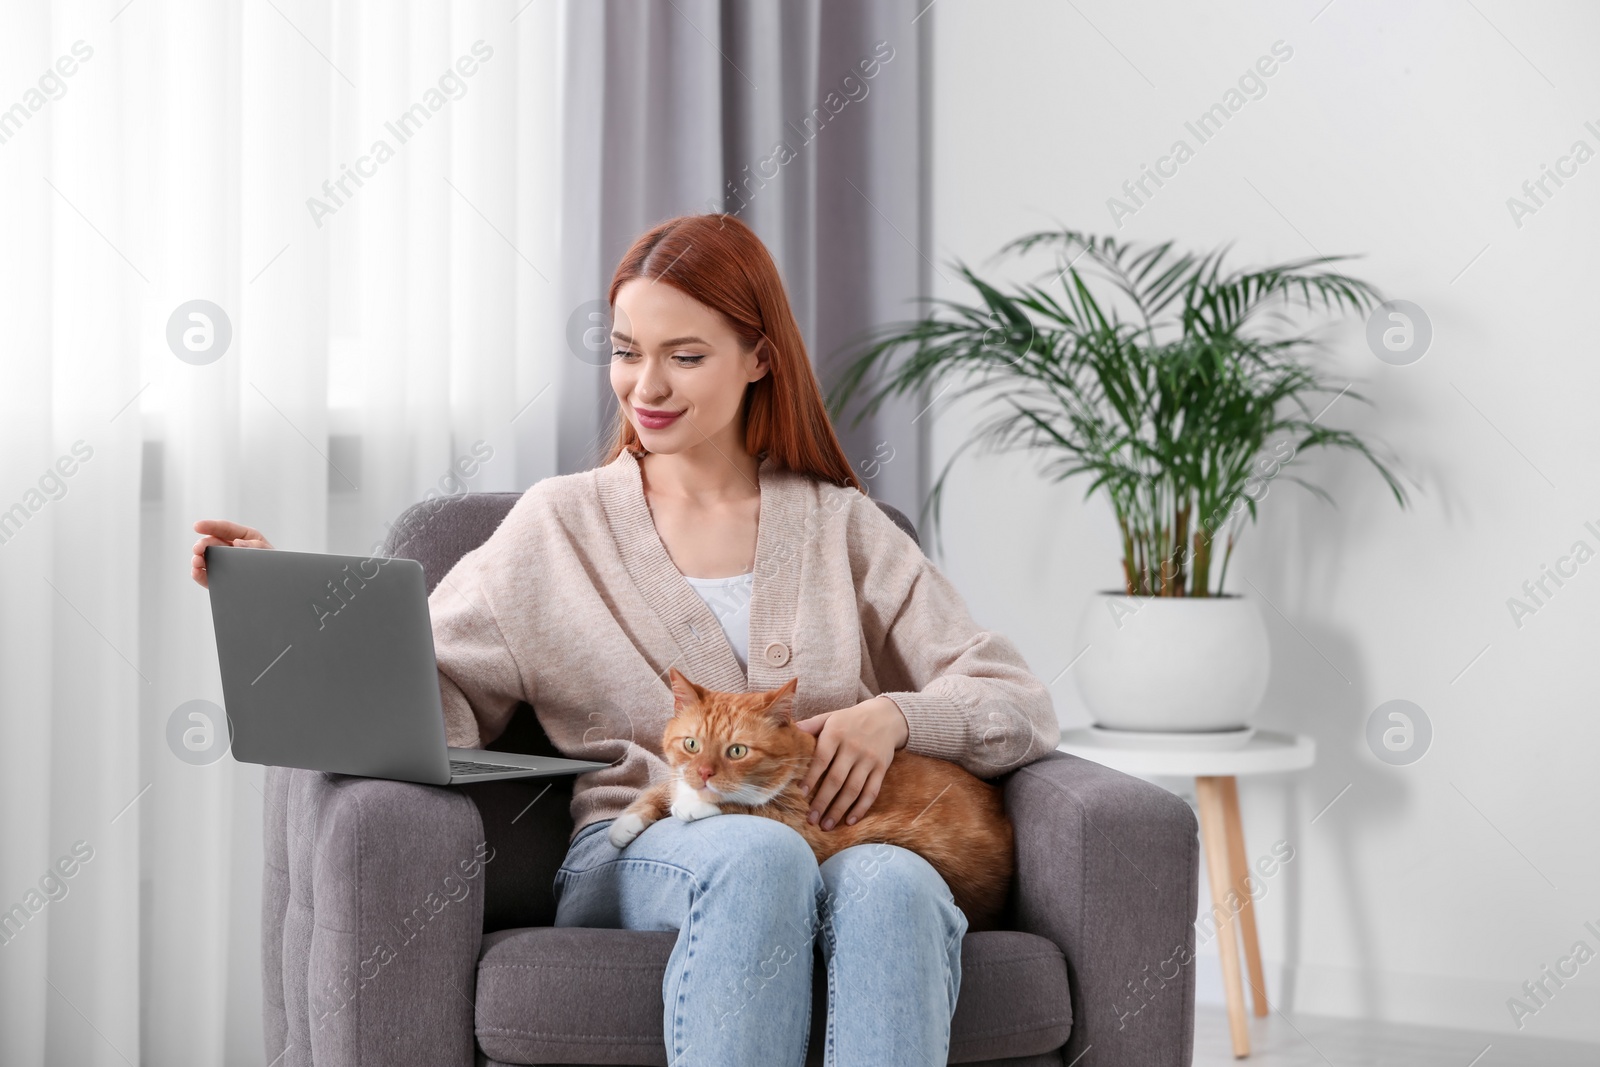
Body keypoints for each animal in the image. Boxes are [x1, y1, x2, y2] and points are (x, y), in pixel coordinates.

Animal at [611, 671, 1011, 927]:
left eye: (737, 751)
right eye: (691, 744)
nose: (705, 773)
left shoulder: (810, 830)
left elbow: (745, 804)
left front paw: (696, 803)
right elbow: (663, 787)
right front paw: (626, 821)